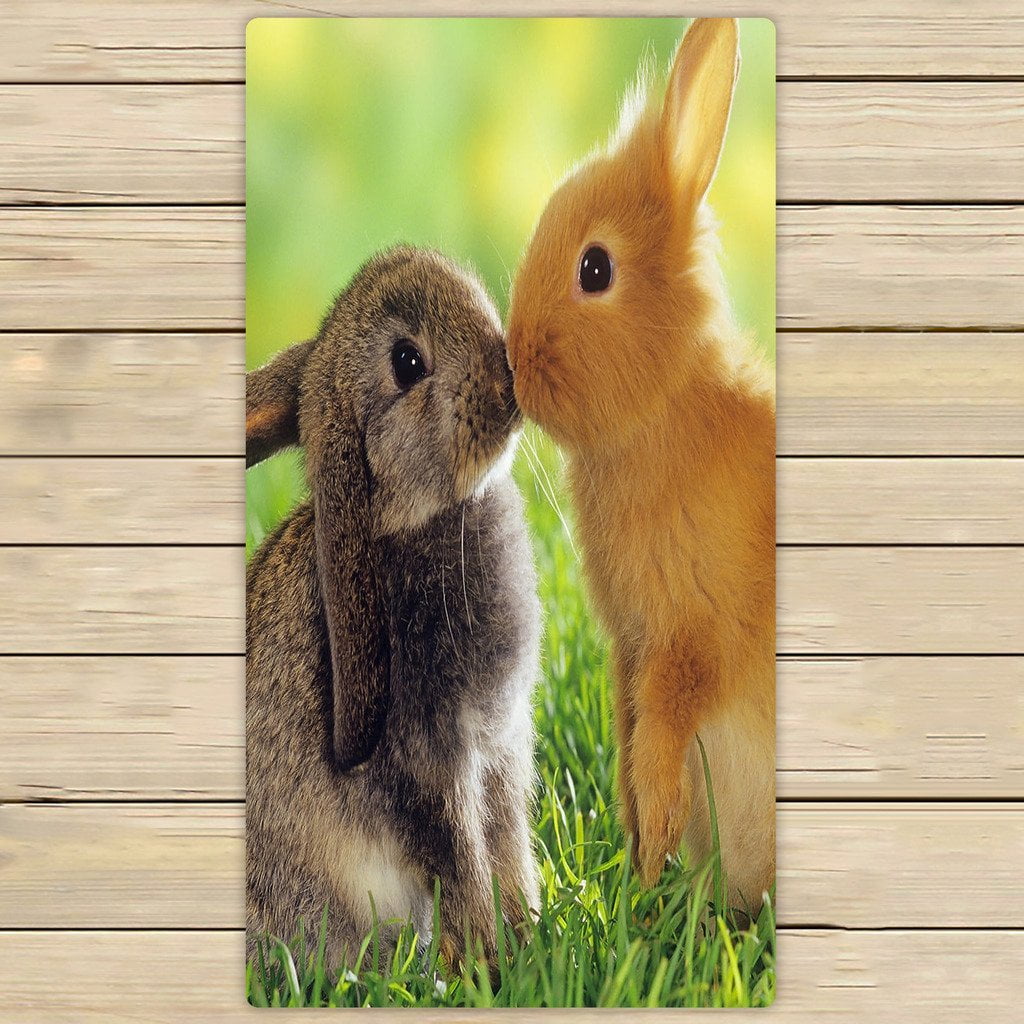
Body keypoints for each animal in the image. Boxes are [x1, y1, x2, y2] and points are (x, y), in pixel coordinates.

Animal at [245, 246, 541, 972]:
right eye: (407, 363)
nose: (508, 378)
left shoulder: (500, 748)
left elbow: (508, 846)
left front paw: (527, 942)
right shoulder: (430, 756)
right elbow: (462, 857)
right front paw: (486, 963)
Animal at [505, 18, 775, 908]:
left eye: (595, 268)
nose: (512, 362)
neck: (663, 410)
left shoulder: (689, 638)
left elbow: (660, 733)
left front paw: (651, 848)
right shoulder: (628, 645)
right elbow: (628, 736)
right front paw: (637, 862)